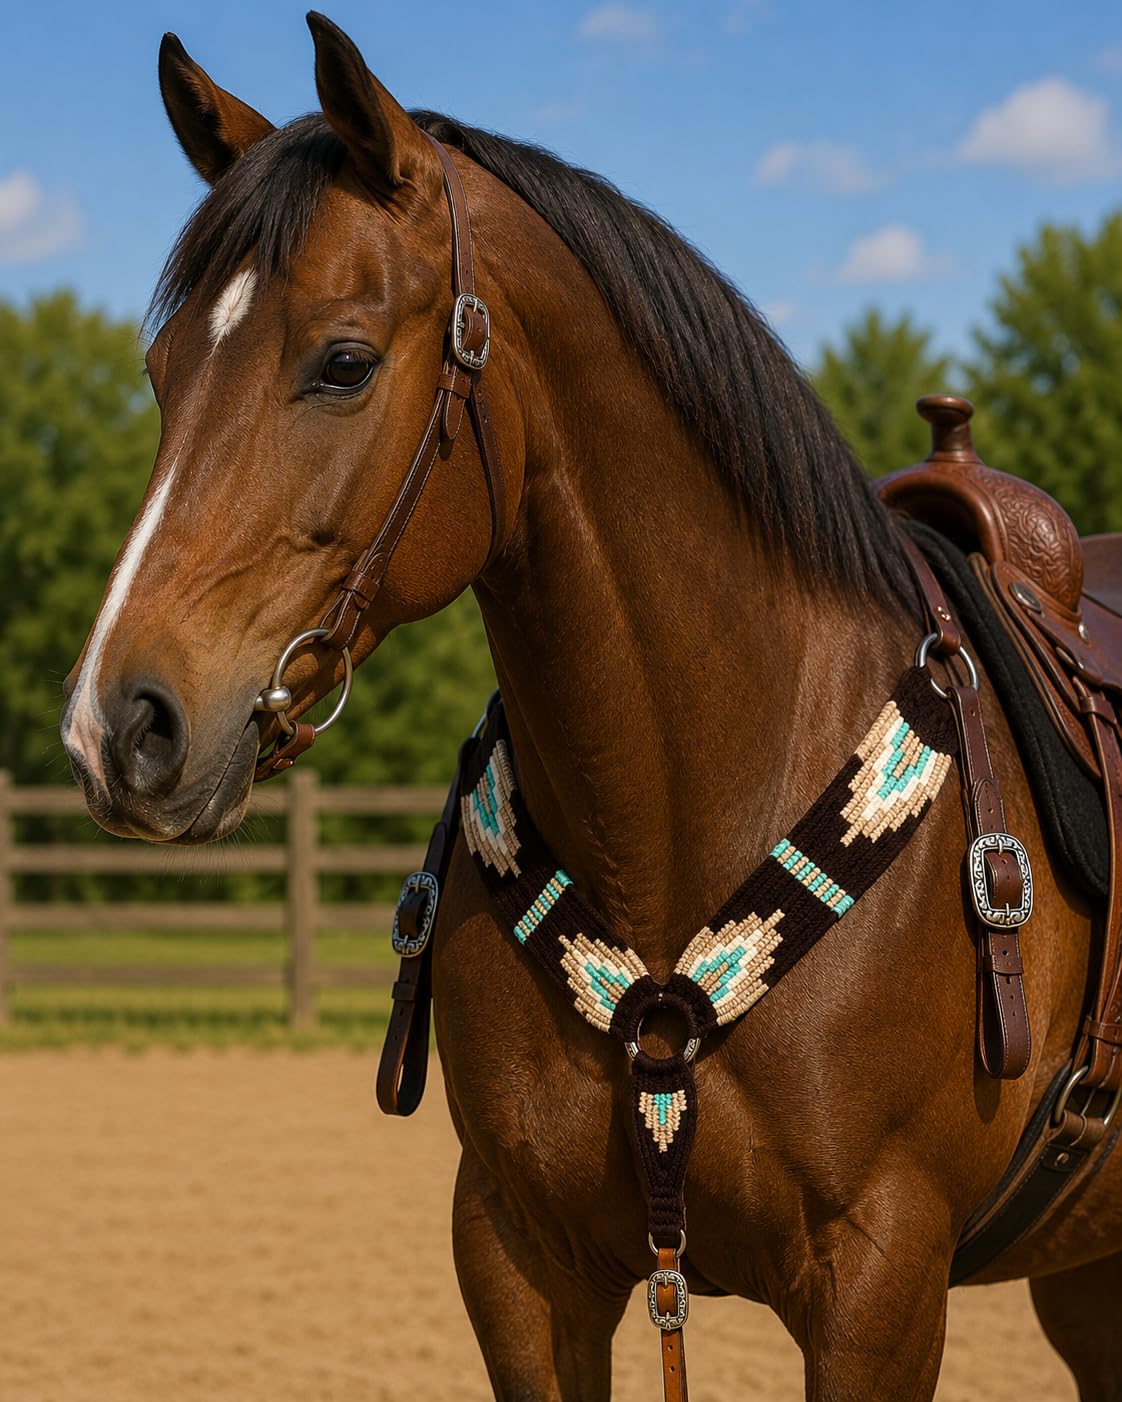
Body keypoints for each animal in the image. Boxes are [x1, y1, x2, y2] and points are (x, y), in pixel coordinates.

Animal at [61, 15, 1122, 1399]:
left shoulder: (880, 1284)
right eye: (161, 368)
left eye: (343, 363)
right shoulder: (521, 1257)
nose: (118, 725)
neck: (683, 814)